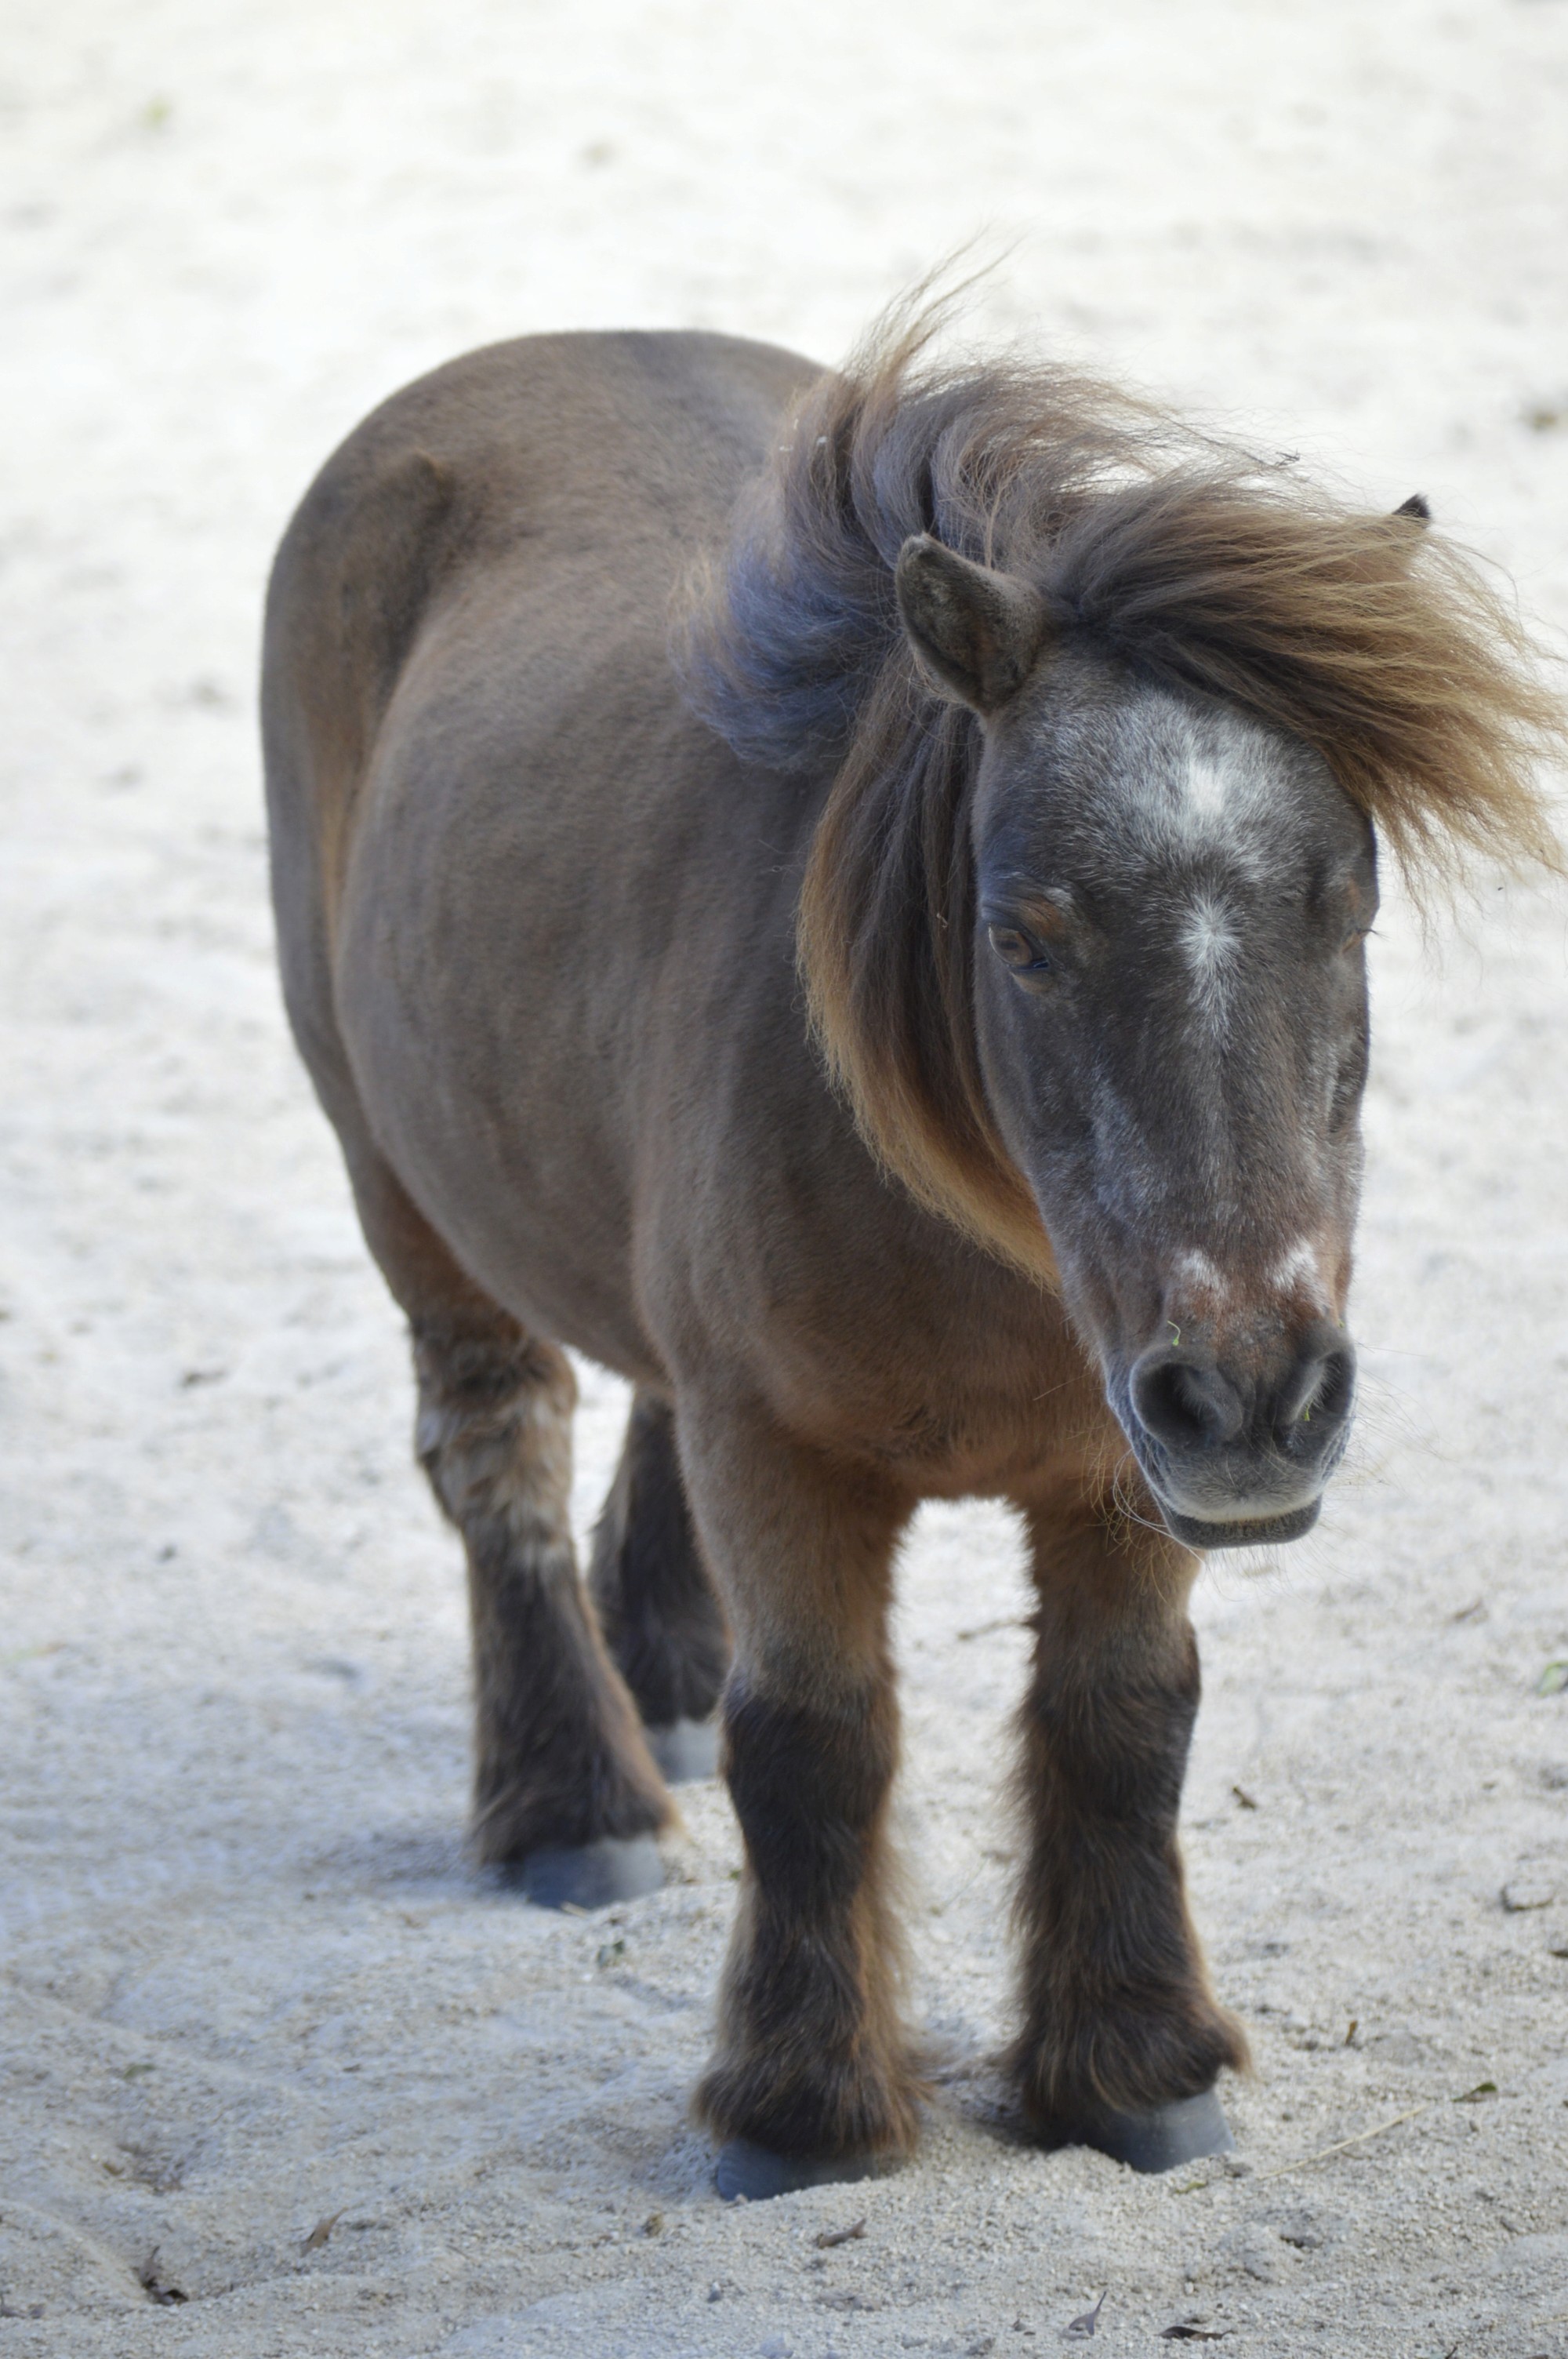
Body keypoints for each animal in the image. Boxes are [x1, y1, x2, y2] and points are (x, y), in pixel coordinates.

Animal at [263, 304, 1555, 2198]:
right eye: (1023, 933)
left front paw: (1132, 2074)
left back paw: (660, 1665)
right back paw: (576, 1804)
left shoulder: (1117, 1463)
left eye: (1347, 903)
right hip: (394, 1175)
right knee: (499, 1449)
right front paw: (797, 2111)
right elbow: (811, 1742)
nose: (1260, 1396)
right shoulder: (784, 1450)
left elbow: (1124, 1722)